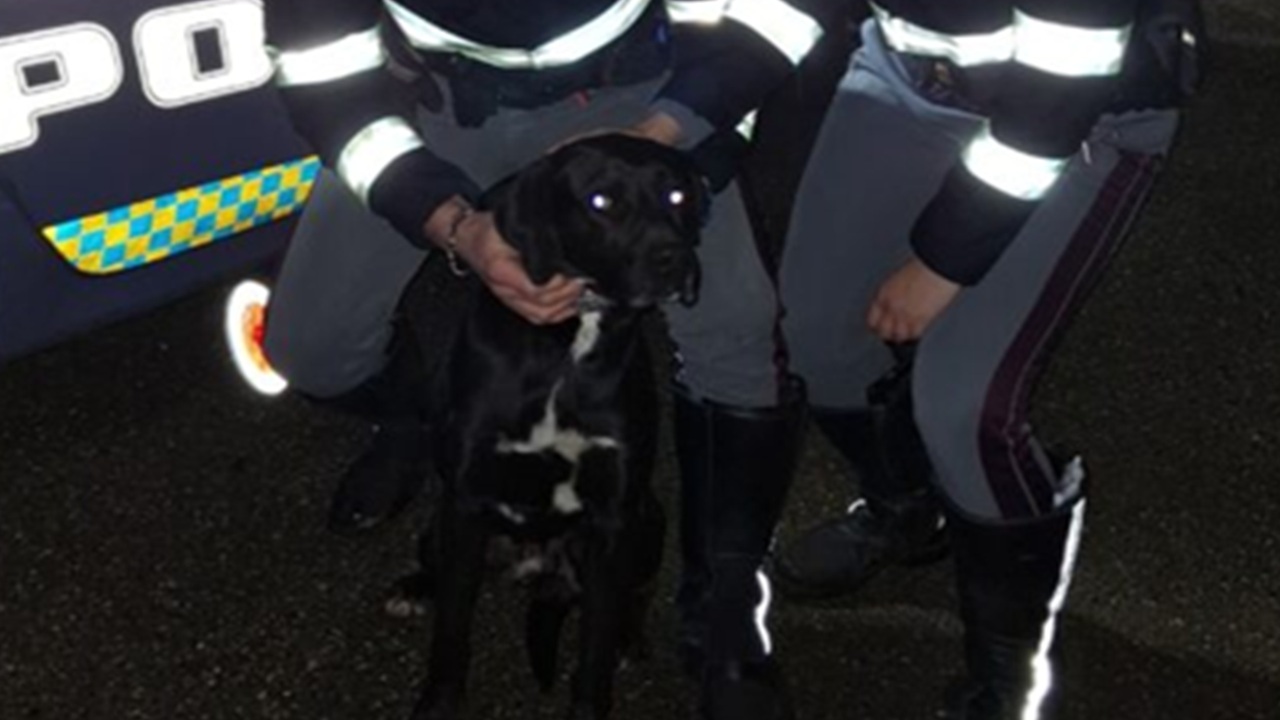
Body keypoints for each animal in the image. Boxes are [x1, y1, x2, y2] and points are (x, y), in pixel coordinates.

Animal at [391, 134, 706, 717]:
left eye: (677, 195)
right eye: (601, 201)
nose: (678, 261)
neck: (570, 341)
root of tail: (540, 571)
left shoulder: (613, 520)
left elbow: (594, 645)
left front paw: (594, 694)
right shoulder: (464, 500)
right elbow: (452, 627)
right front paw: (440, 700)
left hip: (648, 518)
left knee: (636, 592)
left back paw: (630, 638)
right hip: (439, 523)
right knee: (441, 571)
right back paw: (415, 588)